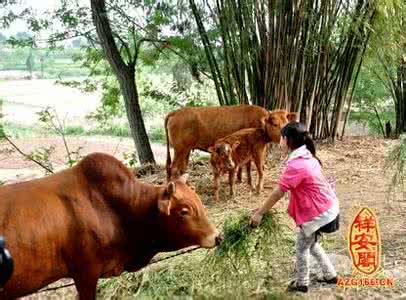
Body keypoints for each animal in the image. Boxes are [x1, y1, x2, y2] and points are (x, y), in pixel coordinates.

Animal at [165, 105, 294, 180]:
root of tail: (176, 112)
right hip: (180, 150)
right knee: (174, 169)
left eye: (287, 123)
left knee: (182, 169)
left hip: (185, 150)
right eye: (275, 124)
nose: (286, 138)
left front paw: (239, 178)